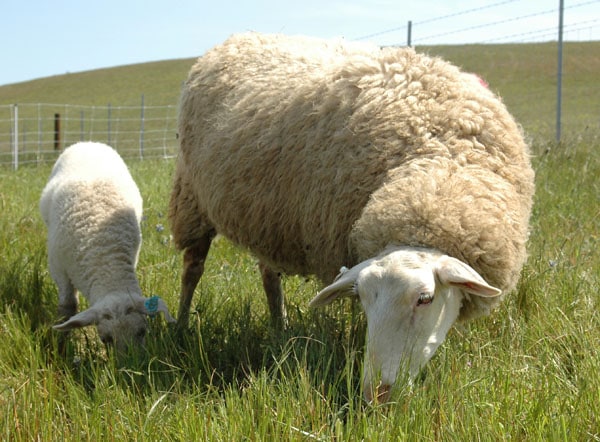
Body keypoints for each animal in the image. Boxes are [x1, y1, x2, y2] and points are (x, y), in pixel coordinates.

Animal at [40, 142, 173, 352]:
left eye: (142, 331)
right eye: (105, 339)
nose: (132, 362)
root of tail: (89, 142)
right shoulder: (58, 268)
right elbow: (68, 307)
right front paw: (61, 345)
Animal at [169, 32, 536, 402]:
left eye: (425, 298)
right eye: (362, 299)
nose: (376, 394)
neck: (439, 169)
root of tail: (239, 37)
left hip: (265, 216)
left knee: (269, 275)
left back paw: (279, 325)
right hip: (192, 197)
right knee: (193, 268)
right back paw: (181, 326)